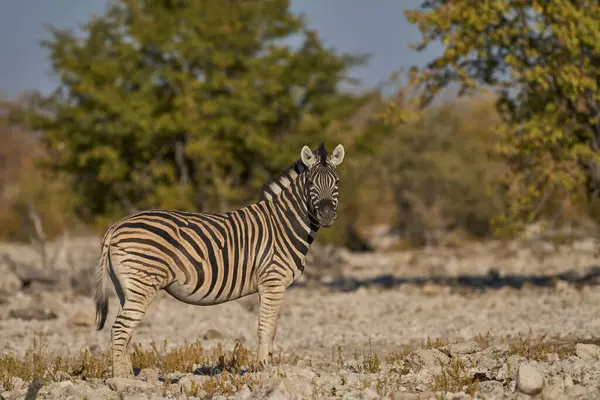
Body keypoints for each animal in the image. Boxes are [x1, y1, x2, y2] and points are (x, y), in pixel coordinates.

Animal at [94, 142, 346, 376]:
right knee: (120, 329)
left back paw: (128, 375)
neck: (282, 225)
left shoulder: (274, 285)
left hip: (126, 288)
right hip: (142, 283)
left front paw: (268, 366)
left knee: (125, 330)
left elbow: (272, 328)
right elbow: (266, 328)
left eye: (337, 183)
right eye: (311, 183)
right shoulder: (273, 281)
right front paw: (262, 369)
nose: (326, 215)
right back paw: (121, 380)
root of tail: (117, 225)